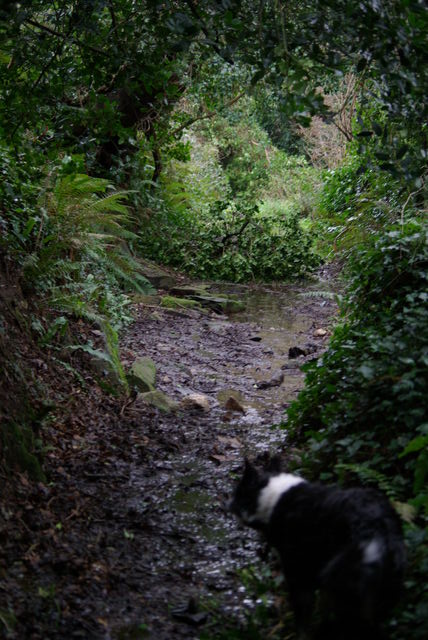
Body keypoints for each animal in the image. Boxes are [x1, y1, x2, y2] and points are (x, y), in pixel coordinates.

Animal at [229, 458, 406, 636]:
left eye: (238, 492)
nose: (227, 504)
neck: (273, 497)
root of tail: (375, 530)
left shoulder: (297, 571)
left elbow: (302, 612)